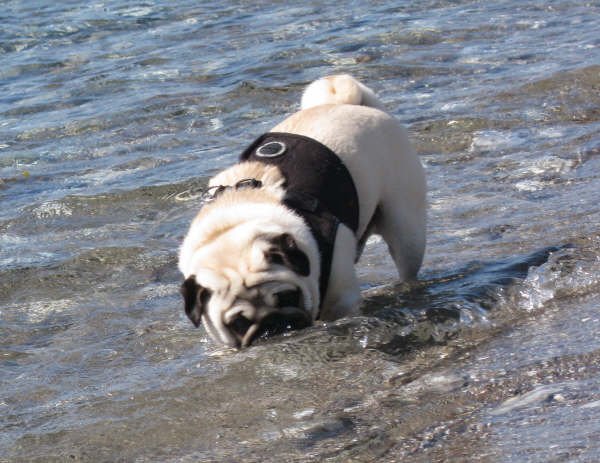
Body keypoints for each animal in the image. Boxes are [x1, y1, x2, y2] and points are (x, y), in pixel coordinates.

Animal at [179, 75, 426, 348]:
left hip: (406, 231)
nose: (272, 324)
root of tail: (344, 103)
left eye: (287, 297)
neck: (230, 226)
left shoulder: (341, 300)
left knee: (407, 261)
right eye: (238, 324)